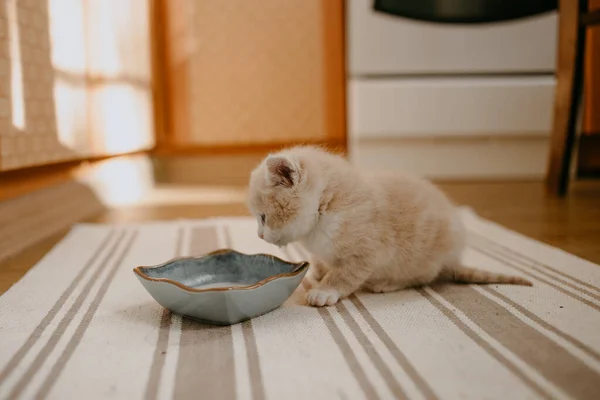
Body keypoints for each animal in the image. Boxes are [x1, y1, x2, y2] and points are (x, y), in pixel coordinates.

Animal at [246, 146, 532, 306]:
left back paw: (386, 283)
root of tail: (452, 259)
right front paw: (319, 270)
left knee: (424, 277)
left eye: (263, 217)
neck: (325, 207)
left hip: (419, 259)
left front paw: (325, 290)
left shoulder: (368, 251)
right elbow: (323, 263)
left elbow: (344, 274)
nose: (259, 235)